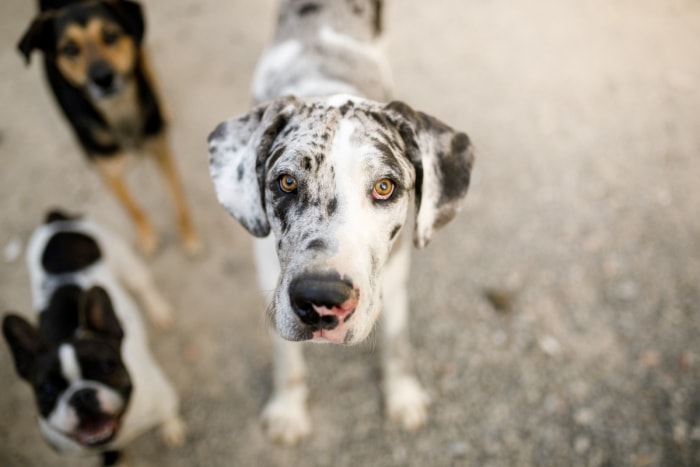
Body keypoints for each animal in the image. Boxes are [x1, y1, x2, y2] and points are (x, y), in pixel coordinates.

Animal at [1, 211, 186, 464]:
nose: (81, 396)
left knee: (144, 286)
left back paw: (159, 311)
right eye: (46, 389)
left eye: (106, 368)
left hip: (127, 263)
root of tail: (57, 220)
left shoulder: (163, 397)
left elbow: (168, 414)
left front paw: (171, 429)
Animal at [19, 0, 200, 256]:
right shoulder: (107, 173)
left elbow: (178, 198)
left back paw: (162, 105)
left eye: (110, 36)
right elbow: (133, 208)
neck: (118, 111)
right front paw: (147, 235)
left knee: (148, 64)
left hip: (140, 45)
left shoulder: (161, 152)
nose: (103, 78)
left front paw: (189, 235)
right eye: (70, 49)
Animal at [205, 0, 474, 446]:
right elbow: (286, 356)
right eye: (287, 181)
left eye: (384, 186)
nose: (320, 299)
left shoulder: (394, 279)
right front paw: (288, 410)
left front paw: (403, 396)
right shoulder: (269, 279)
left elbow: (397, 344)